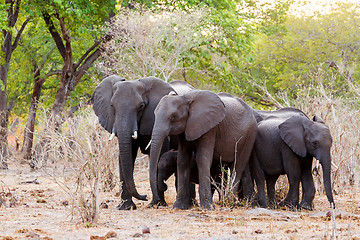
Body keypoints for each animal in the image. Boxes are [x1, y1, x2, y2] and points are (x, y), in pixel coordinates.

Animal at [91, 76, 193, 209]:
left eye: (141, 106)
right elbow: (126, 155)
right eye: (112, 105)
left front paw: (157, 204)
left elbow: (159, 155)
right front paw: (126, 208)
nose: (144, 196)